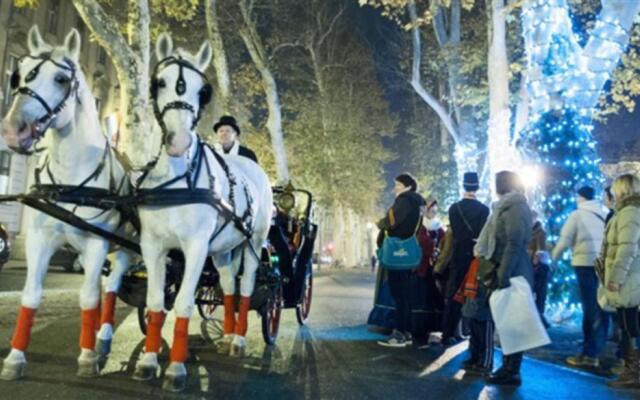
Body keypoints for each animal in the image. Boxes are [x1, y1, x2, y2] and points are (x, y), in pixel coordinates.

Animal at [0, 27, 131, 378]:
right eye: (18, 73)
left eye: (60, 79)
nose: (13, 131)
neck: (70, 181)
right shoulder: (40, 238)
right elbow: (32, 294)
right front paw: (15, 357)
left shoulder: (98, 242)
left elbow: (88, 296)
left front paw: (85, 357)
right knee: (103, 288)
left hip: (123, 250)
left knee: (111, 287)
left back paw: (102, 340)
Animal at [131, 34, 272, 390]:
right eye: (160, 82)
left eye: (202, 91)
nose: (179, 141)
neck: (178, 181)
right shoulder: (153, 246)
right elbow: (155, 303)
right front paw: (149, 361)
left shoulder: (195, 247)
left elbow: (183, 302)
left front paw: (176, 369)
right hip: (223, 249)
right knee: (229, 286)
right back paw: (229, 335)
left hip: (254, 242)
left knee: (246, 286)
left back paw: (239, 340)